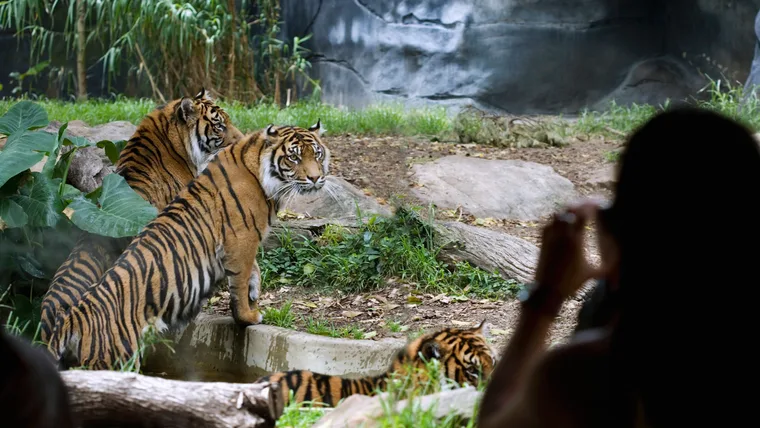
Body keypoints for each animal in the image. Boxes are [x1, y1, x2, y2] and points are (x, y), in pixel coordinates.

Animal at [47, 122, 330, 370]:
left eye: (316, 154)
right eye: (294, 158)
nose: (316, 178)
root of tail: (73, 319)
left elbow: (254, 270)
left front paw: (254, 291)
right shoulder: (242, 240)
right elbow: (239, 283)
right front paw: (248, 315)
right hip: (117, 359)